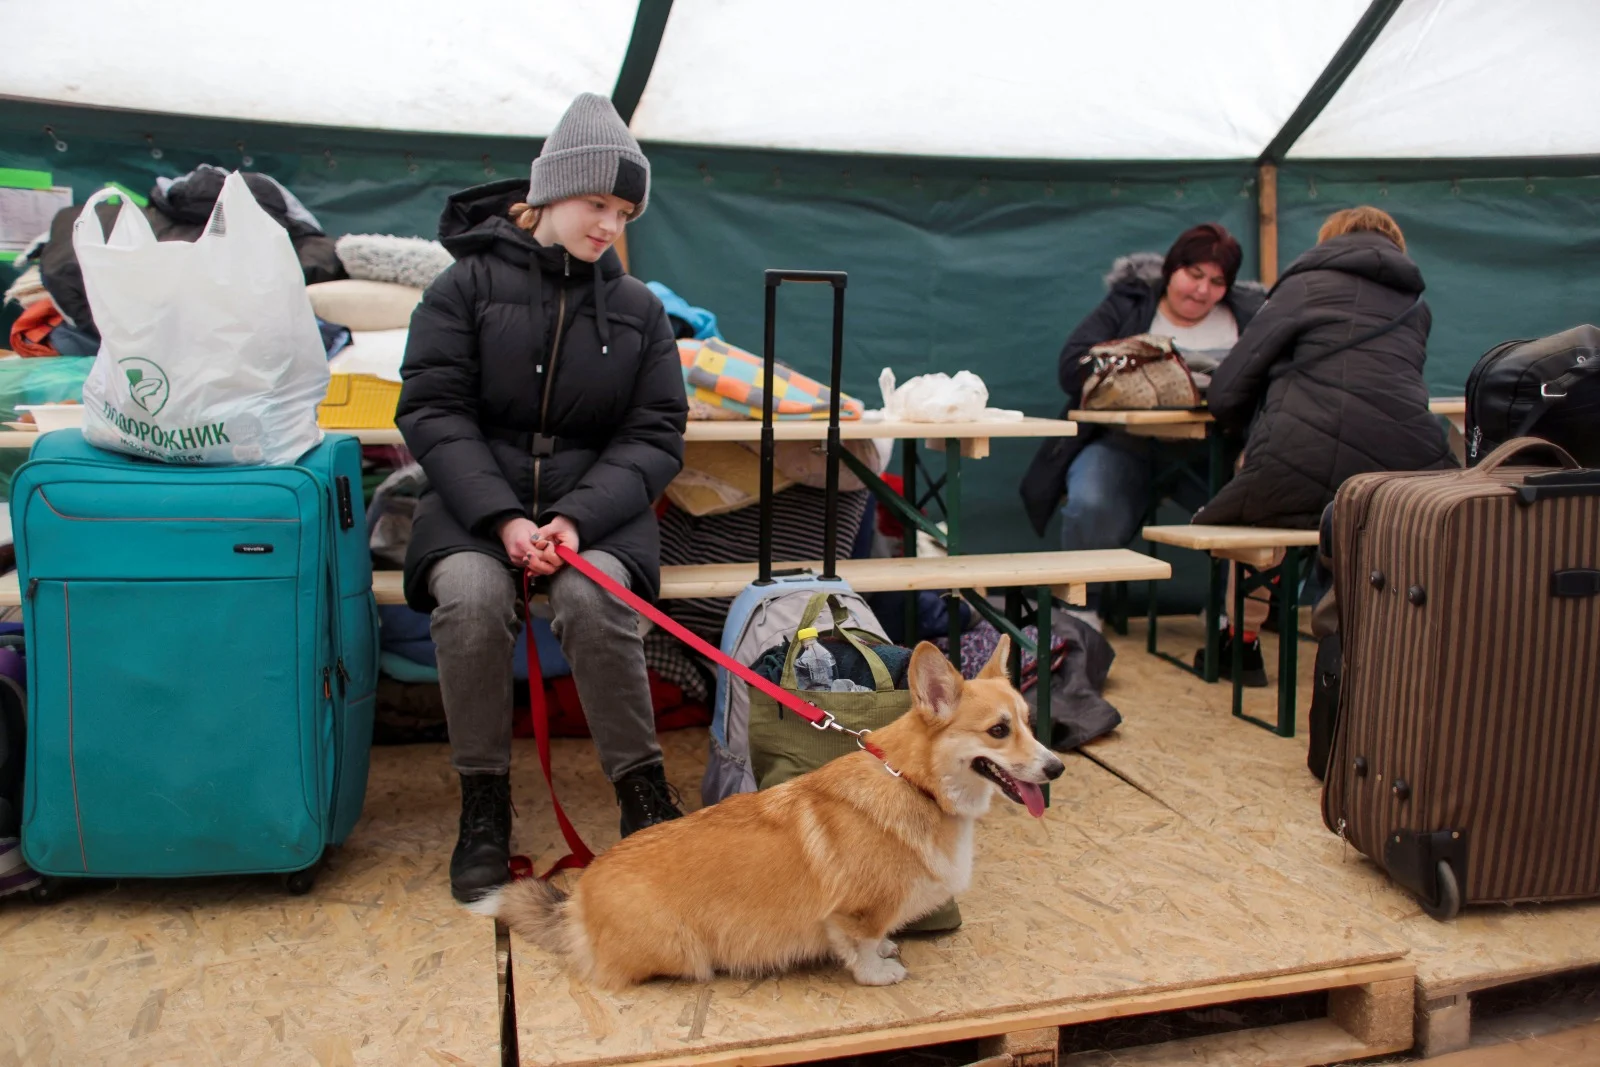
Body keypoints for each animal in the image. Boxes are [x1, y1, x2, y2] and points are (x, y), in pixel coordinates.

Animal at [467, 639, 1068, 991]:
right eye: (998, 730)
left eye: (1028, 721)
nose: (1058, 767)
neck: (915, 784)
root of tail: (578, 902)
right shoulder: (855, 913)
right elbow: (862, 947)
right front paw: (879, 972)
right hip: (685, 950)